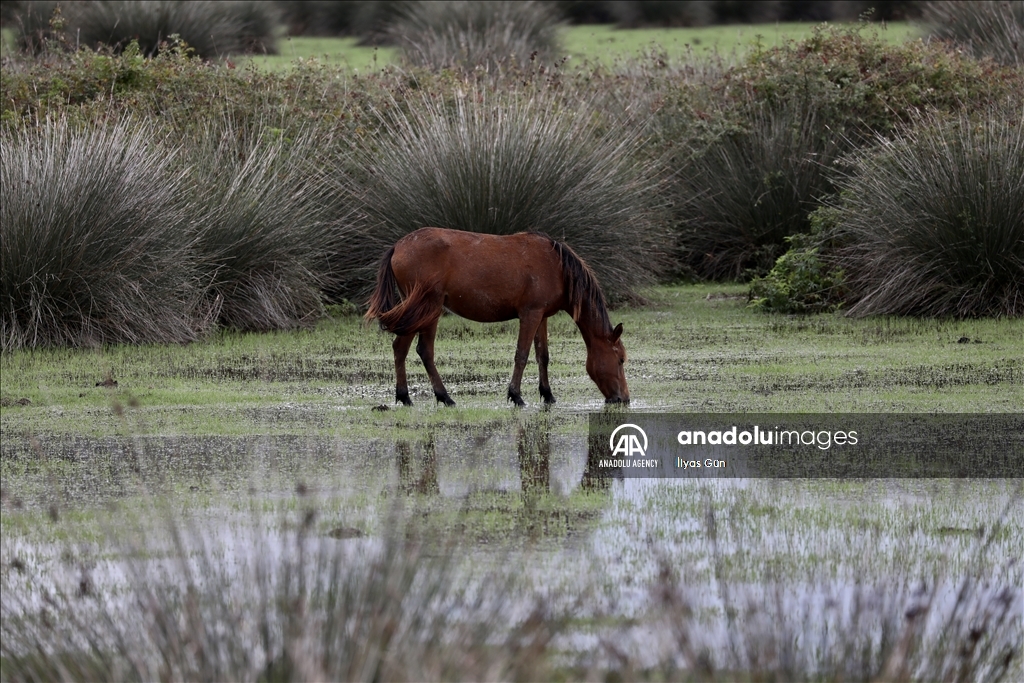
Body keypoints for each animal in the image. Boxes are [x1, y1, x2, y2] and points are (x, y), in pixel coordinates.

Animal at [364, 227, 626, 409]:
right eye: (621, 360)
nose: (623, 398)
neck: (557, 266)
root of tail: (398, 247)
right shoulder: (530, 314)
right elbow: (522, 355)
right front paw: (516, 395)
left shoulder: (541, 316)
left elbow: (543, 356)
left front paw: (548, 394)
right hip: (428, 309)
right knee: (423, 350)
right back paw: (443, 397)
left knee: (401, 348)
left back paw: (405, 396)